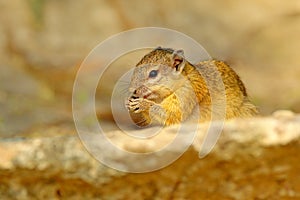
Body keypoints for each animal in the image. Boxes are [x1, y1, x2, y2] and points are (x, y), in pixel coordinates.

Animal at [125, 47, 258, 126]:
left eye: (153, 73)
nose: (132, 90)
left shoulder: (187, 93)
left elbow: (171, 115)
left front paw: (142, 104)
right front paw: (128, 102)